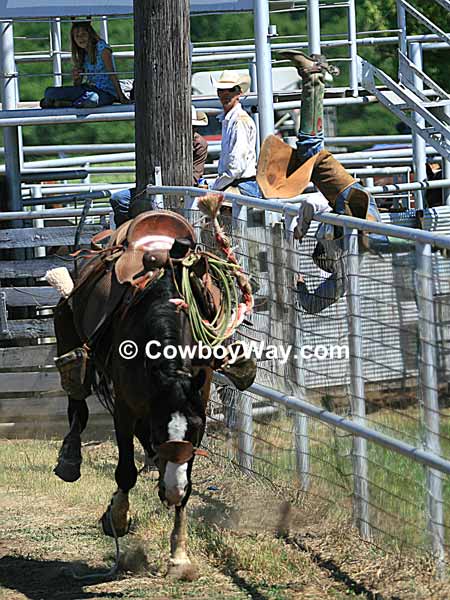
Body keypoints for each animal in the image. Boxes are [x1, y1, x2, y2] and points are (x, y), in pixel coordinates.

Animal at [48, 198, 256, 580]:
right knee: (77, 402)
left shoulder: (196, 405)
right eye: (163, 429)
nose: (170, 492)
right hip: (67, 329)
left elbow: (186, 481)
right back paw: (70, 459)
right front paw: (116, 518)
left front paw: (179, 557)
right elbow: (125, 470)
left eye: (196, 430)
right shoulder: (126, 410)